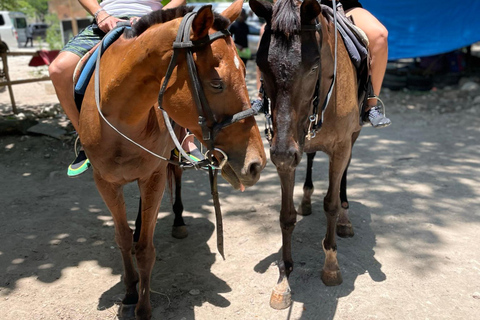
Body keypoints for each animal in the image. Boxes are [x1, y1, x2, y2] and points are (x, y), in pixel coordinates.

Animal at [78, 1, 266, 318]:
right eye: (217, 83)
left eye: (244, 70)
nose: (256, 164)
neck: (121, 119)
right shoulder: (105, 182)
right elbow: (123, 238)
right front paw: (130, 292)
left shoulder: (153, 175)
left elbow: (145, 249)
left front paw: (143, 307)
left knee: (174, 180)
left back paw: (177, 221)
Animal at [251, 0, 364, 310]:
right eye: (260, 65)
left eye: (313, 66)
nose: (282, 151)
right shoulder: (286, 153)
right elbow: (286, 216)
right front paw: (284, 278)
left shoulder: (340, 146)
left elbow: (331, 204)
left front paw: (331, 265)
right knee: (311, 158)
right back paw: (306, 198)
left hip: (353, 136)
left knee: (344, 175)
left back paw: (345, 219)